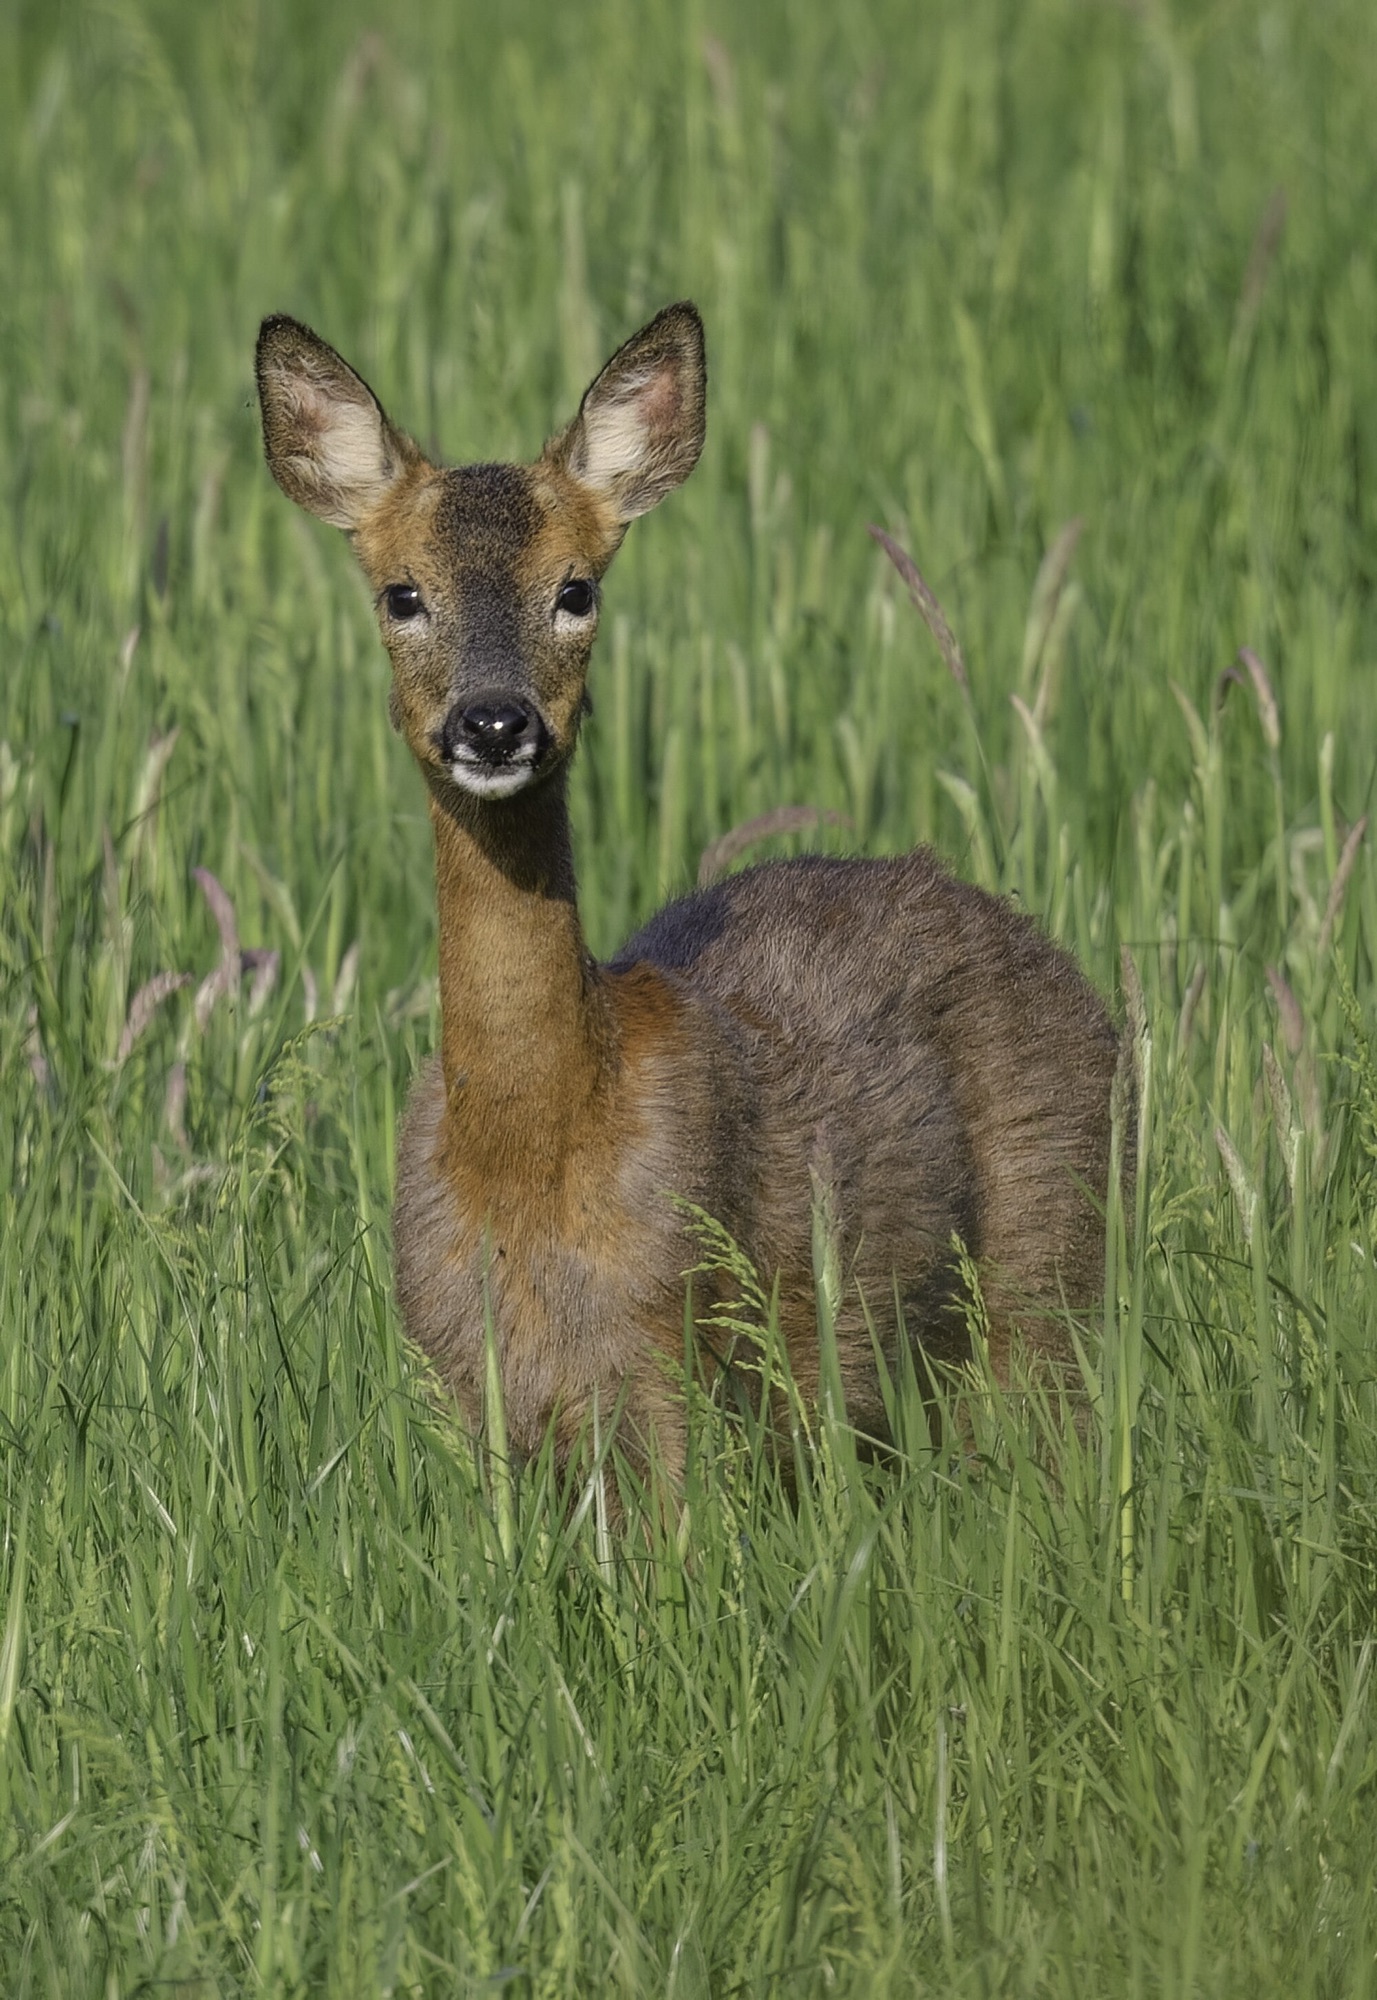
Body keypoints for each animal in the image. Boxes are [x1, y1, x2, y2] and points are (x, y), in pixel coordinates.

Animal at [256, 301, 1122, 1497]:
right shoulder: (468, 1381)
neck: (533, 1152)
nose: (495, 722)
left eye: (576, 589)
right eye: (403, 593)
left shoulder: (679, 1344)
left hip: (1053, 1259)